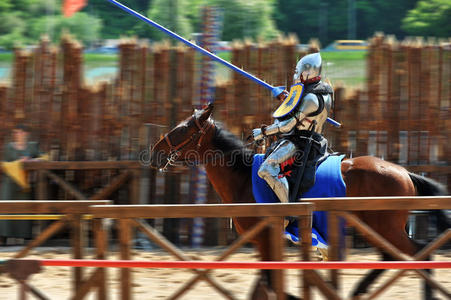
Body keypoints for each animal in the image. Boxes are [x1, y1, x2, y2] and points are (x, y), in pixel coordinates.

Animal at [149, 103, 448, 300]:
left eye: (183, 129)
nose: (155, 151)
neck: (243, 178)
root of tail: (404, 172)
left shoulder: (265, 237)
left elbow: (268, 283)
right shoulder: (264, 241)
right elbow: (264, 283)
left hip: (385, 227)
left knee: (421, 253)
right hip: (375, 227)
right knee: (392, 256)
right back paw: (359, 289)